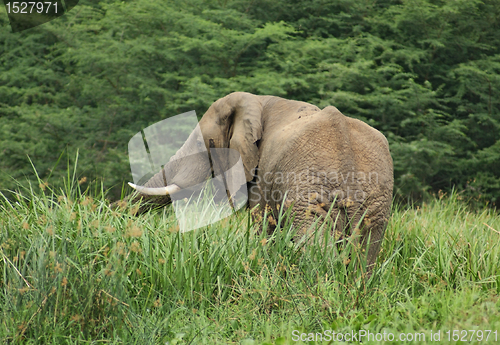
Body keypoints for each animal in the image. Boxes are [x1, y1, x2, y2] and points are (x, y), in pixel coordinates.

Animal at [130, 90, 394, 272]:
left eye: (199, 143)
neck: (258, 101)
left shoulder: (262, 176)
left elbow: (263, 225)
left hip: (308, 194)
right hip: (375, 203)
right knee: (366, 254)